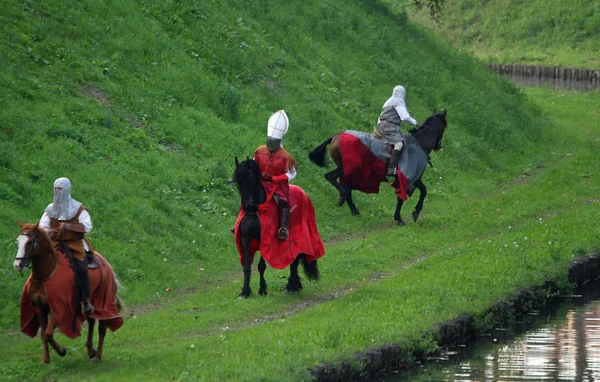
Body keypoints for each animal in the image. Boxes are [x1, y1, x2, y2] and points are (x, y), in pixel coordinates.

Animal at [13, 221, 123, 364]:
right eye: (17, 242)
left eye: (30, 242)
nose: (18, 264)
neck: (46, 275)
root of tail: (107, 264)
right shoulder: (39, 308)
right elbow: (43, 334)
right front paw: (45, 359)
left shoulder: (59, 308)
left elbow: (48, 333)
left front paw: (61, 350)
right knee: (91, 322)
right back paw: (90, 351)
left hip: (104, 300)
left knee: (102, 327)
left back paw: (97, 356)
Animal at [232, 158, 322, 298]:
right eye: (238, 181)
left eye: (251, 178)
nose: (246, 205)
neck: (255, 210)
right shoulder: (245, 239)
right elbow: (246, 266)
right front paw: (245, 291)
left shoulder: (265, 240)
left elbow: (261, 266)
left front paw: (262, 289)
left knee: (295, 260)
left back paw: (291, 286)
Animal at [310, 109, 446, 225]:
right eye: (444, 126)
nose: (438, 146)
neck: (418, 144)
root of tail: (336, 136)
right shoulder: (410, 178)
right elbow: (415, 193)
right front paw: (405, 216)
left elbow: (420, 192)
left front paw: (410, 214)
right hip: (346, 168)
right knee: (332, 179)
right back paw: (343, 198)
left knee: (345, 187)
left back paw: (353, 210)